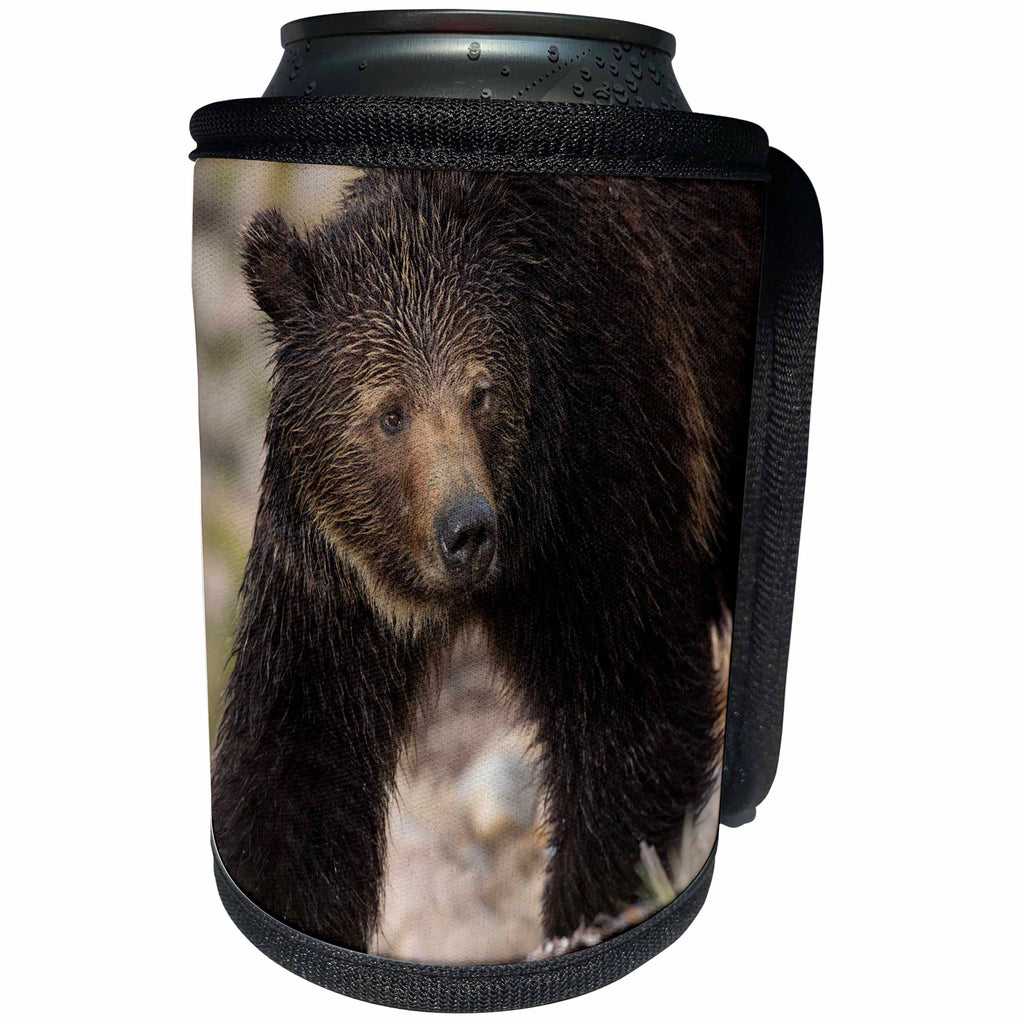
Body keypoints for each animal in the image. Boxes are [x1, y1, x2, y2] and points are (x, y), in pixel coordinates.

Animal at [211, 168, 764, 954]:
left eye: (481, 392)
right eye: (391, 412)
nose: (466, 530)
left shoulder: (602, 480)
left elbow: (630, 706)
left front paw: (580, 914)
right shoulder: (333, 573)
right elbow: (297, 762)